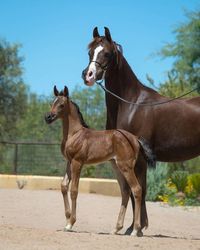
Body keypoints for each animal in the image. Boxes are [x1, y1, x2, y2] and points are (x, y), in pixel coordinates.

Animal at [44, 86, 152, 236]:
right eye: (52, 102)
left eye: (62, 105)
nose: (48, 117)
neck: (75, 134)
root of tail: (135, 139)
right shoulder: (69, 162)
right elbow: (64, 186)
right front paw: (67, 219)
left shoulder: (77, 162)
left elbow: (74, 190)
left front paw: (71, 223)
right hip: (117, 167)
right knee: (125, 191)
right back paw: (116, 228)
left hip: (126, 167)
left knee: (136, 189)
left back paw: (135, 230)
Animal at [81, 26, 200, 234]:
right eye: (90, 52)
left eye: (107, 53)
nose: (88, 75)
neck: (131, 103)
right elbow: (132, 191)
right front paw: (133, 227)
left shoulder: (140, 159)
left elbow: (139, 190)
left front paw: (137, 228)